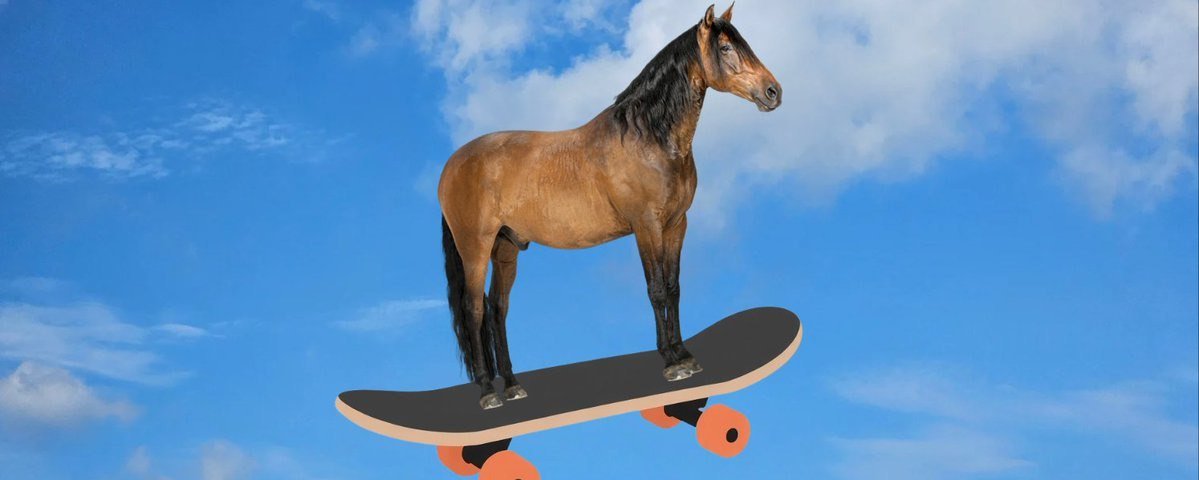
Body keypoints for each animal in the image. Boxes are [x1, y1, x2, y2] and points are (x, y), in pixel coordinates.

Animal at [439, 3, 781, 410]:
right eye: (726, 47)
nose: (773, 92)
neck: (648, 137)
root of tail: (453, 165)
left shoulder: (676, 224)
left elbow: (674, 286)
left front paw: (685, 354)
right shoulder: (646, 226)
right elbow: (656, 289)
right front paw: (671, 362)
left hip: (506, 247)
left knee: (497, 309)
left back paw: (511, 385)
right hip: (475, 247)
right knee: (474, 309)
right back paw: (488, 392)